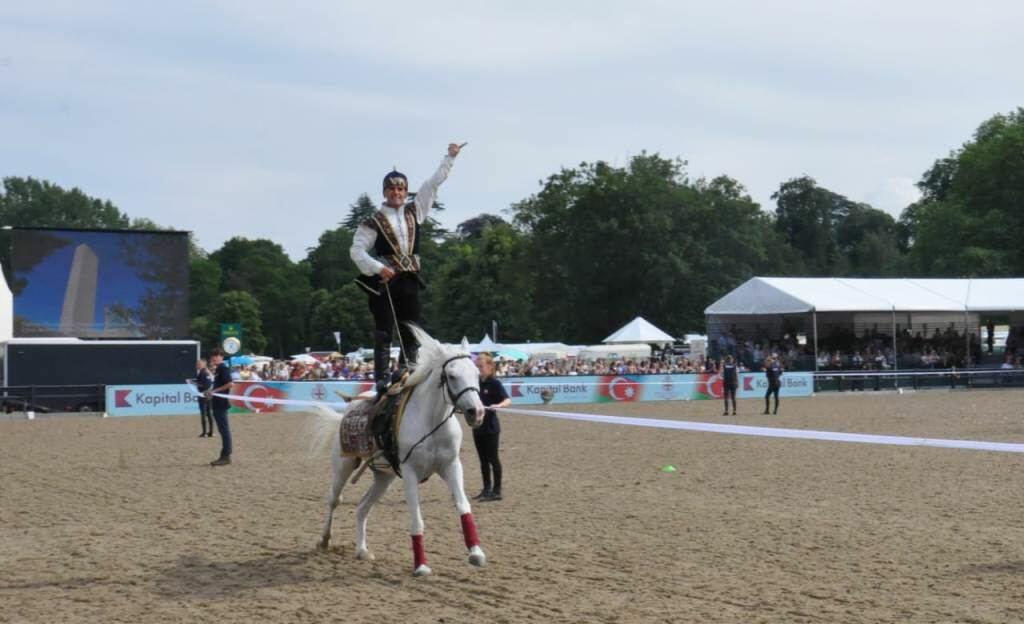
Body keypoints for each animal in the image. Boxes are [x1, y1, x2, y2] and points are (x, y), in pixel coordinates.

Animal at [309, 325, 485, 573]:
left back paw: (362, 550)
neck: (430, 423)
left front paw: (476, 553)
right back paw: (324, 540)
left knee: (362, 508)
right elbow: (416, 519)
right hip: (343, 466)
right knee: (334, 500)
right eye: (451, 375)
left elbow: (463, 507)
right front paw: (421, 565)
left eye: (477, 374)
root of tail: (350, 408)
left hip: (384, 478)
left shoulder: (451, 466)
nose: (476, 412)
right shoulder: (410, 473)